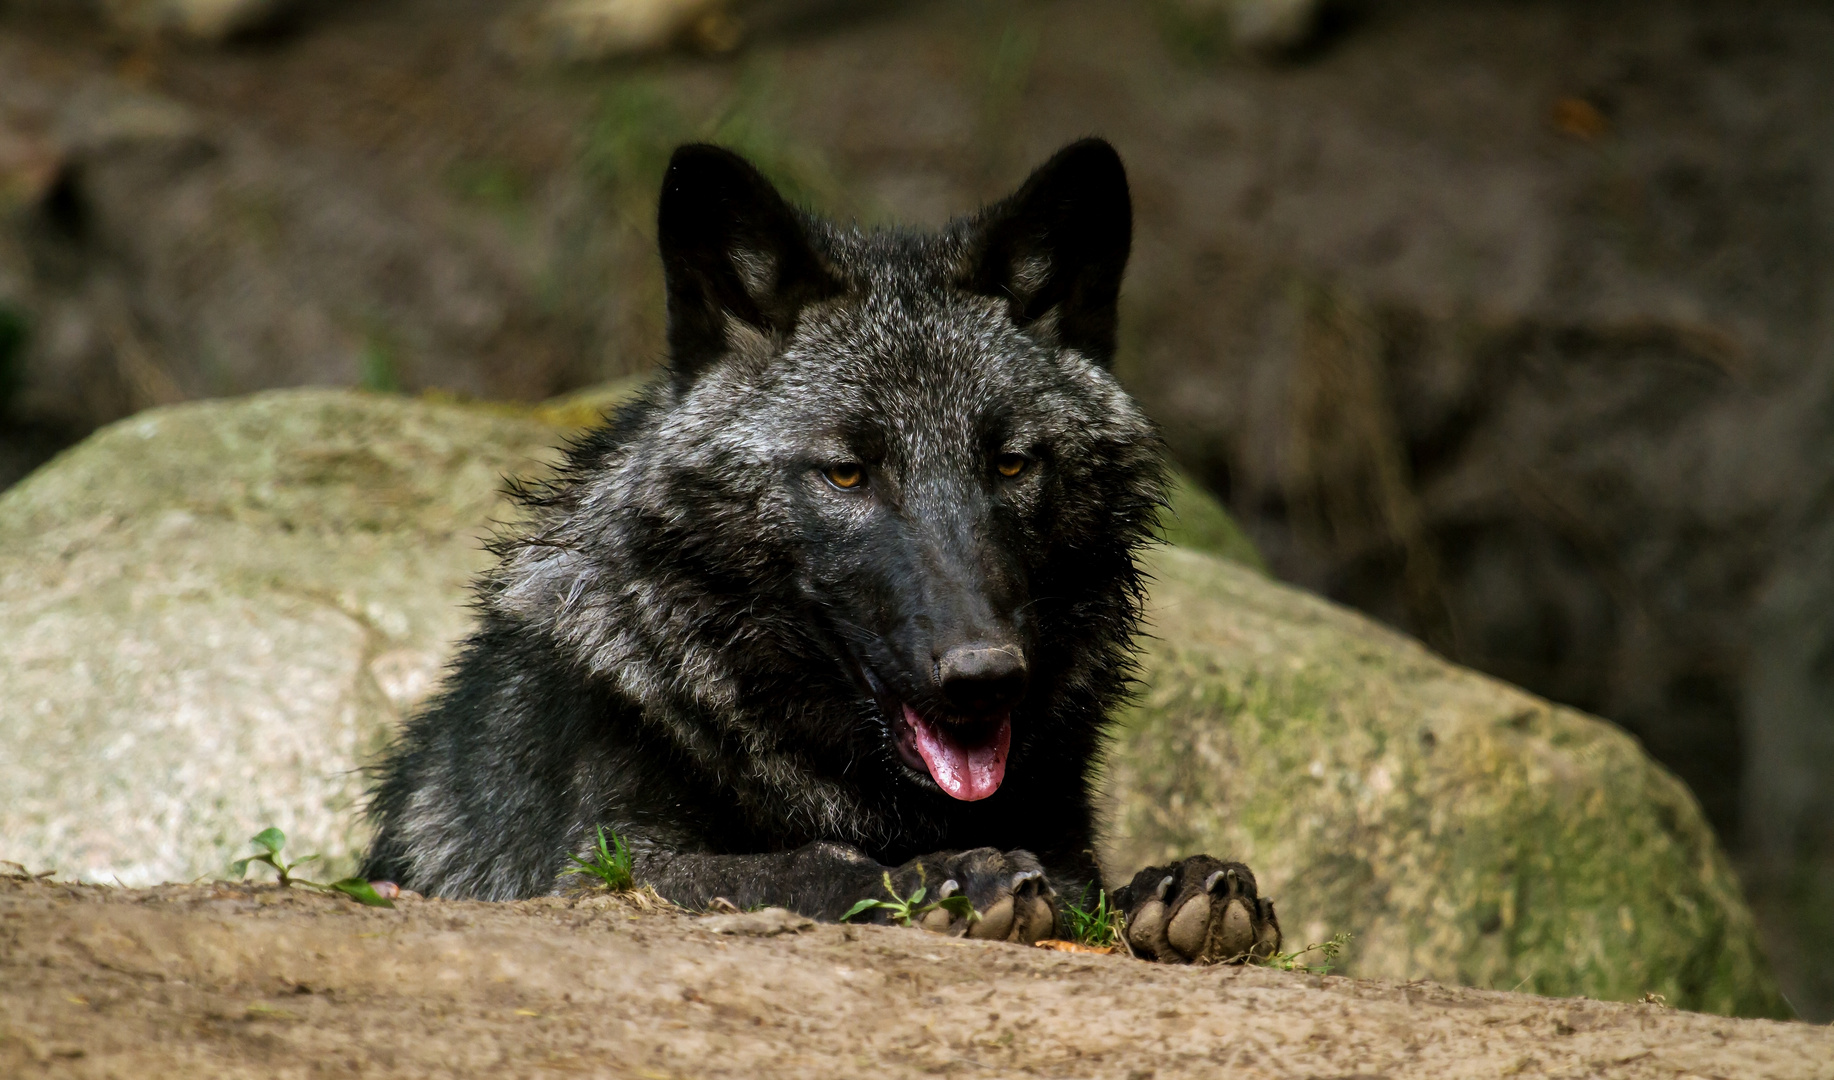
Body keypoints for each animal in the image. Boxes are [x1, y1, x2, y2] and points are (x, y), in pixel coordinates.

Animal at [364, 136, 1283, 960]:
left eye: (1012, 463)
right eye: (847, 473)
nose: (985, 676)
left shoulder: (1065, 848)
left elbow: (1091, 885)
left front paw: (1174, 887)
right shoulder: (594, 870)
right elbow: (799, 862)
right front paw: (944, 877)